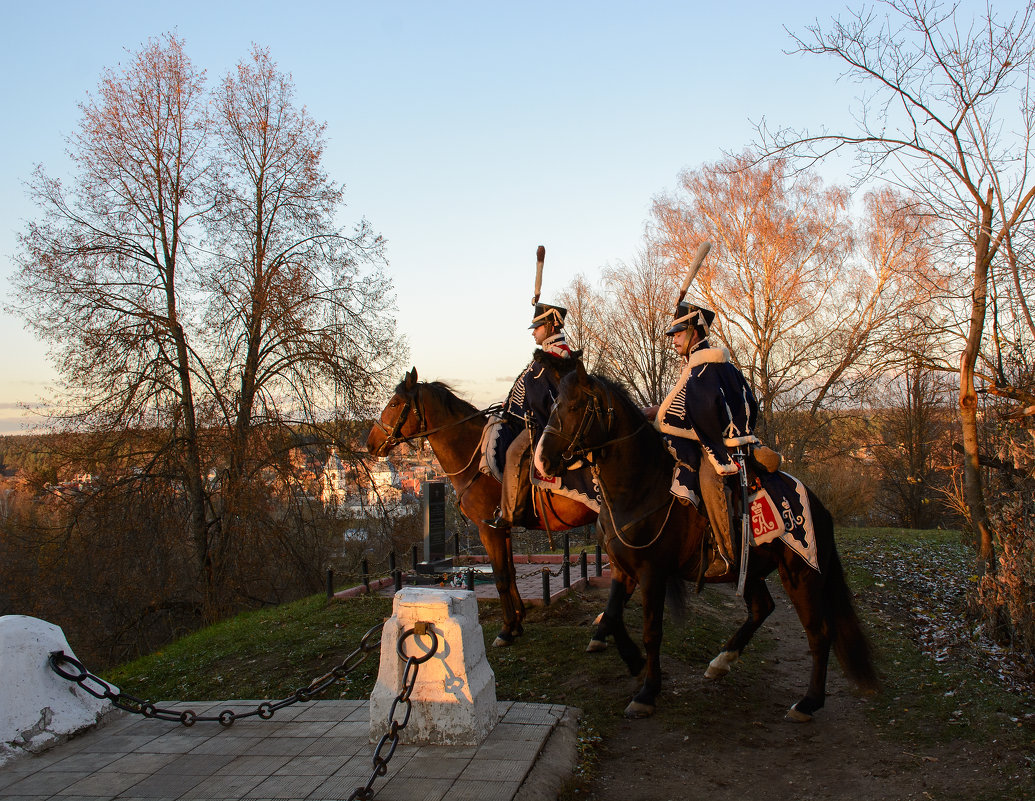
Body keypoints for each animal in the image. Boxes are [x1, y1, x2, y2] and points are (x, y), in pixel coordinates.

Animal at [364, 370, 596, 645]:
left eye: (394, 404)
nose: (370, 443)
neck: (475, 458)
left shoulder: (488, 530)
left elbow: (501, 577)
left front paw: (506, 629)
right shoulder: (501, 528)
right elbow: (510, 571)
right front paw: (517, 621)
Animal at [538, 364, 877, 720]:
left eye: (575, 406)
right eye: (554, 403)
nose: (543, 460)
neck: (640, 487)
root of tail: (818, 504)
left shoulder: (652, 574)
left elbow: (651, 631)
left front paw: (648, 691)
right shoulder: (622, 570)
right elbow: (611, 614)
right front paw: (634, 662)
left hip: (802, 574)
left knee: (819, 633)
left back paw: (808, 702)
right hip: (750, 570)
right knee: (763, 608)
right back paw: (721, 662)